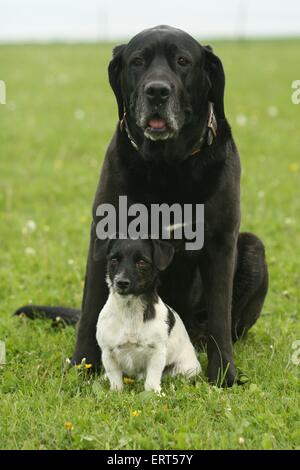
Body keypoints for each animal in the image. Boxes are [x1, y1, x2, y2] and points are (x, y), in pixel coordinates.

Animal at [95, 239, 200, 392]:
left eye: (142, 261)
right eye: (113, 260)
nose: (121, 282)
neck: (130, 312)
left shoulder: (157, 352)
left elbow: (152, 379)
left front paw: (154, 393)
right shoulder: (108, 352)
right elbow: (115, 379)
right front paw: (115, 392)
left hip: (185, 369)